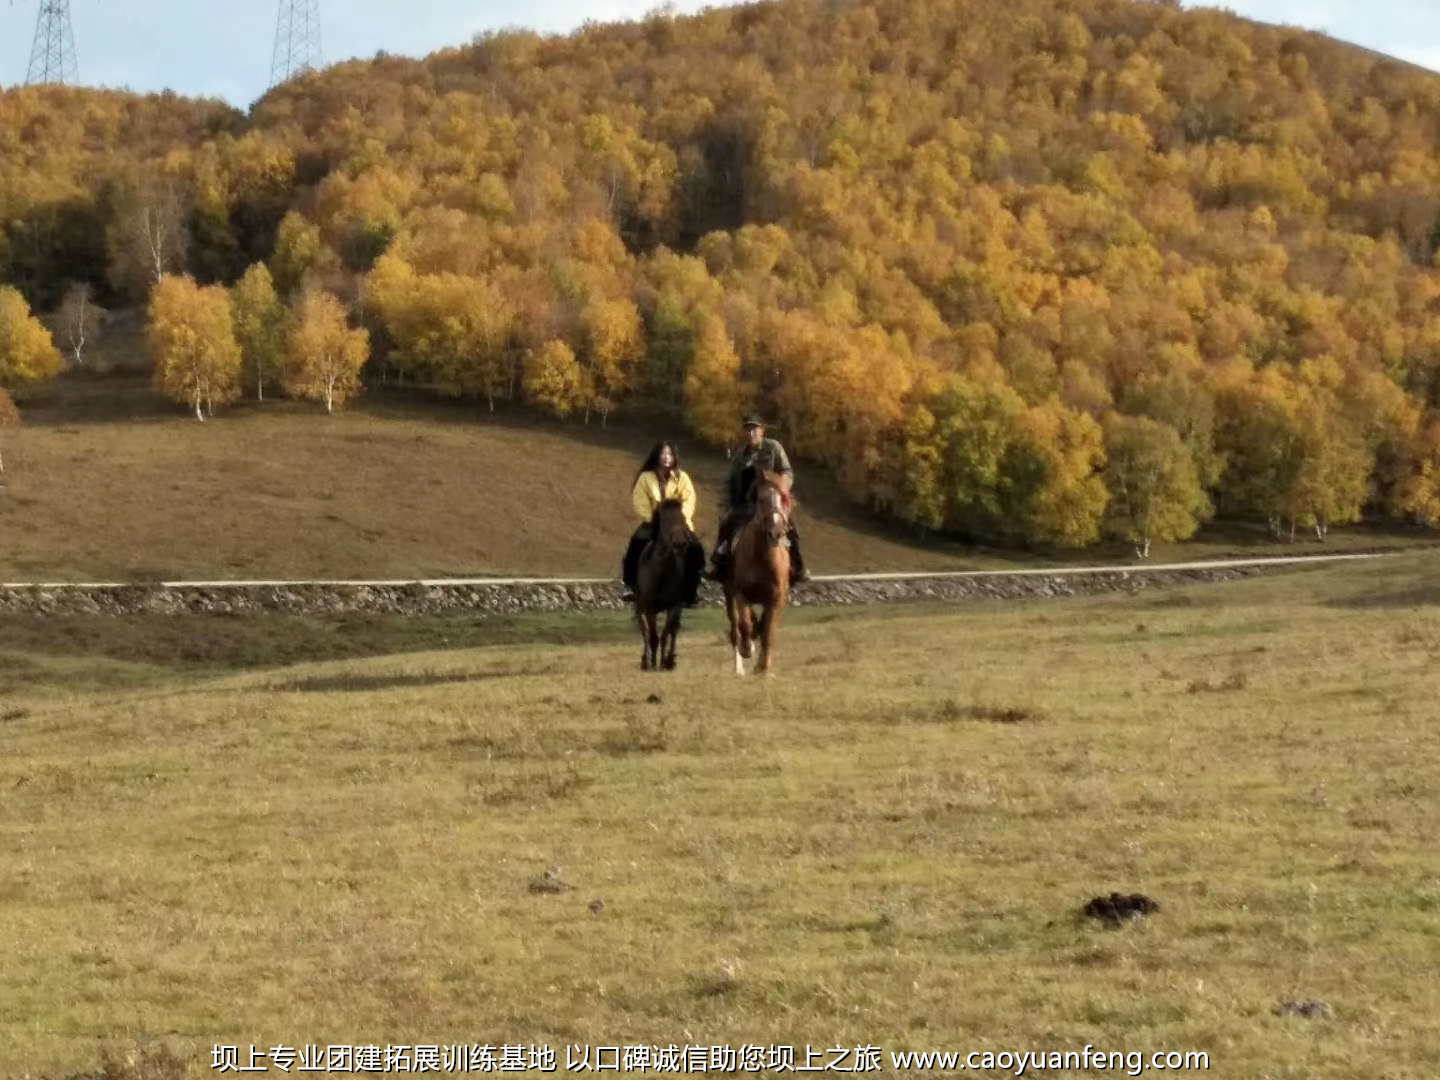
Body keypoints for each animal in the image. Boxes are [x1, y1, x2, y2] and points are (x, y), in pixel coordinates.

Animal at [636, 501, 691, 673]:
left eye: (682, 518)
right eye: (665, 521)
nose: (679, 544)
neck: (663, 569)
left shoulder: (674, 605)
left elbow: (667, 633)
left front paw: (665, 662)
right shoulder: (648, 606)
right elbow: (652, 635)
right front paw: (652, 663)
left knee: (674, 630)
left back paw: (669, 660)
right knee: (644, 630)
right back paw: (645, 661)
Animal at [725, 466, 794, 673]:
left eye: (783, 499)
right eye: (762, 499)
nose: (776, 533)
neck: (762, 557)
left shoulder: (776, 598)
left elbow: (768, 630)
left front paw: (763, 666)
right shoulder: (741, 594)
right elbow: (745, 624)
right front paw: (747, 649)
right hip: (729, 594)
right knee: (736, 627)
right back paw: (739, 667)